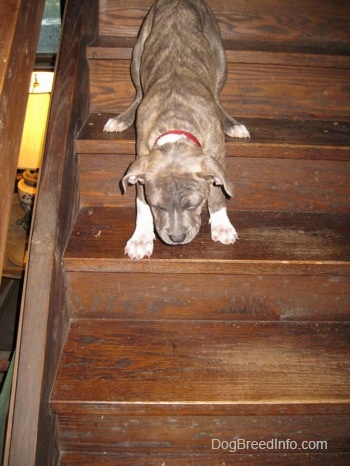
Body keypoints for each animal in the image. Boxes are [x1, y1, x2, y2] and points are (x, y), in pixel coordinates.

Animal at [104, 0, 249, 258]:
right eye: (158, 206)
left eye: (193, 204)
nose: (177, 238)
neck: (176, 127)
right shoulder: (142, 159)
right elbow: (140, 203)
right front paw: (141, 238)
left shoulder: (216, 154)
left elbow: (218, 192)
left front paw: (222, 225)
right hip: (138, 52)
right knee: (138, 92)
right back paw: (121, 119)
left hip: (218, 53)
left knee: (217, 93)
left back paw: (232, 124)